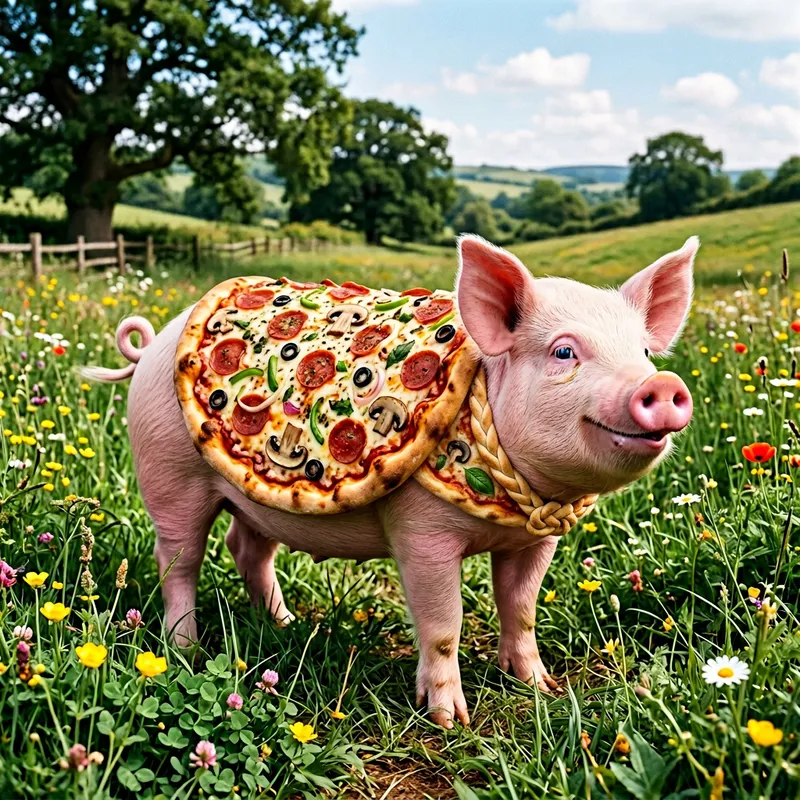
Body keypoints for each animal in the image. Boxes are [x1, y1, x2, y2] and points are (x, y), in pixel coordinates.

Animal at [85, 234, 696, 728]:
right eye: (564, 351)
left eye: (644, 351)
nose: (662, 384)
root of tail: (152, 344)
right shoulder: (420, 529)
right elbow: (443, 621)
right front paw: (450, 722)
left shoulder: (536, 536)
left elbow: (520, 607)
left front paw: (540, 688)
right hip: (168, 470)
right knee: (178, 560)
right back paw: (184, 648)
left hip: (255, 494)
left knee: (246, 547)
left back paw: (284, 626)